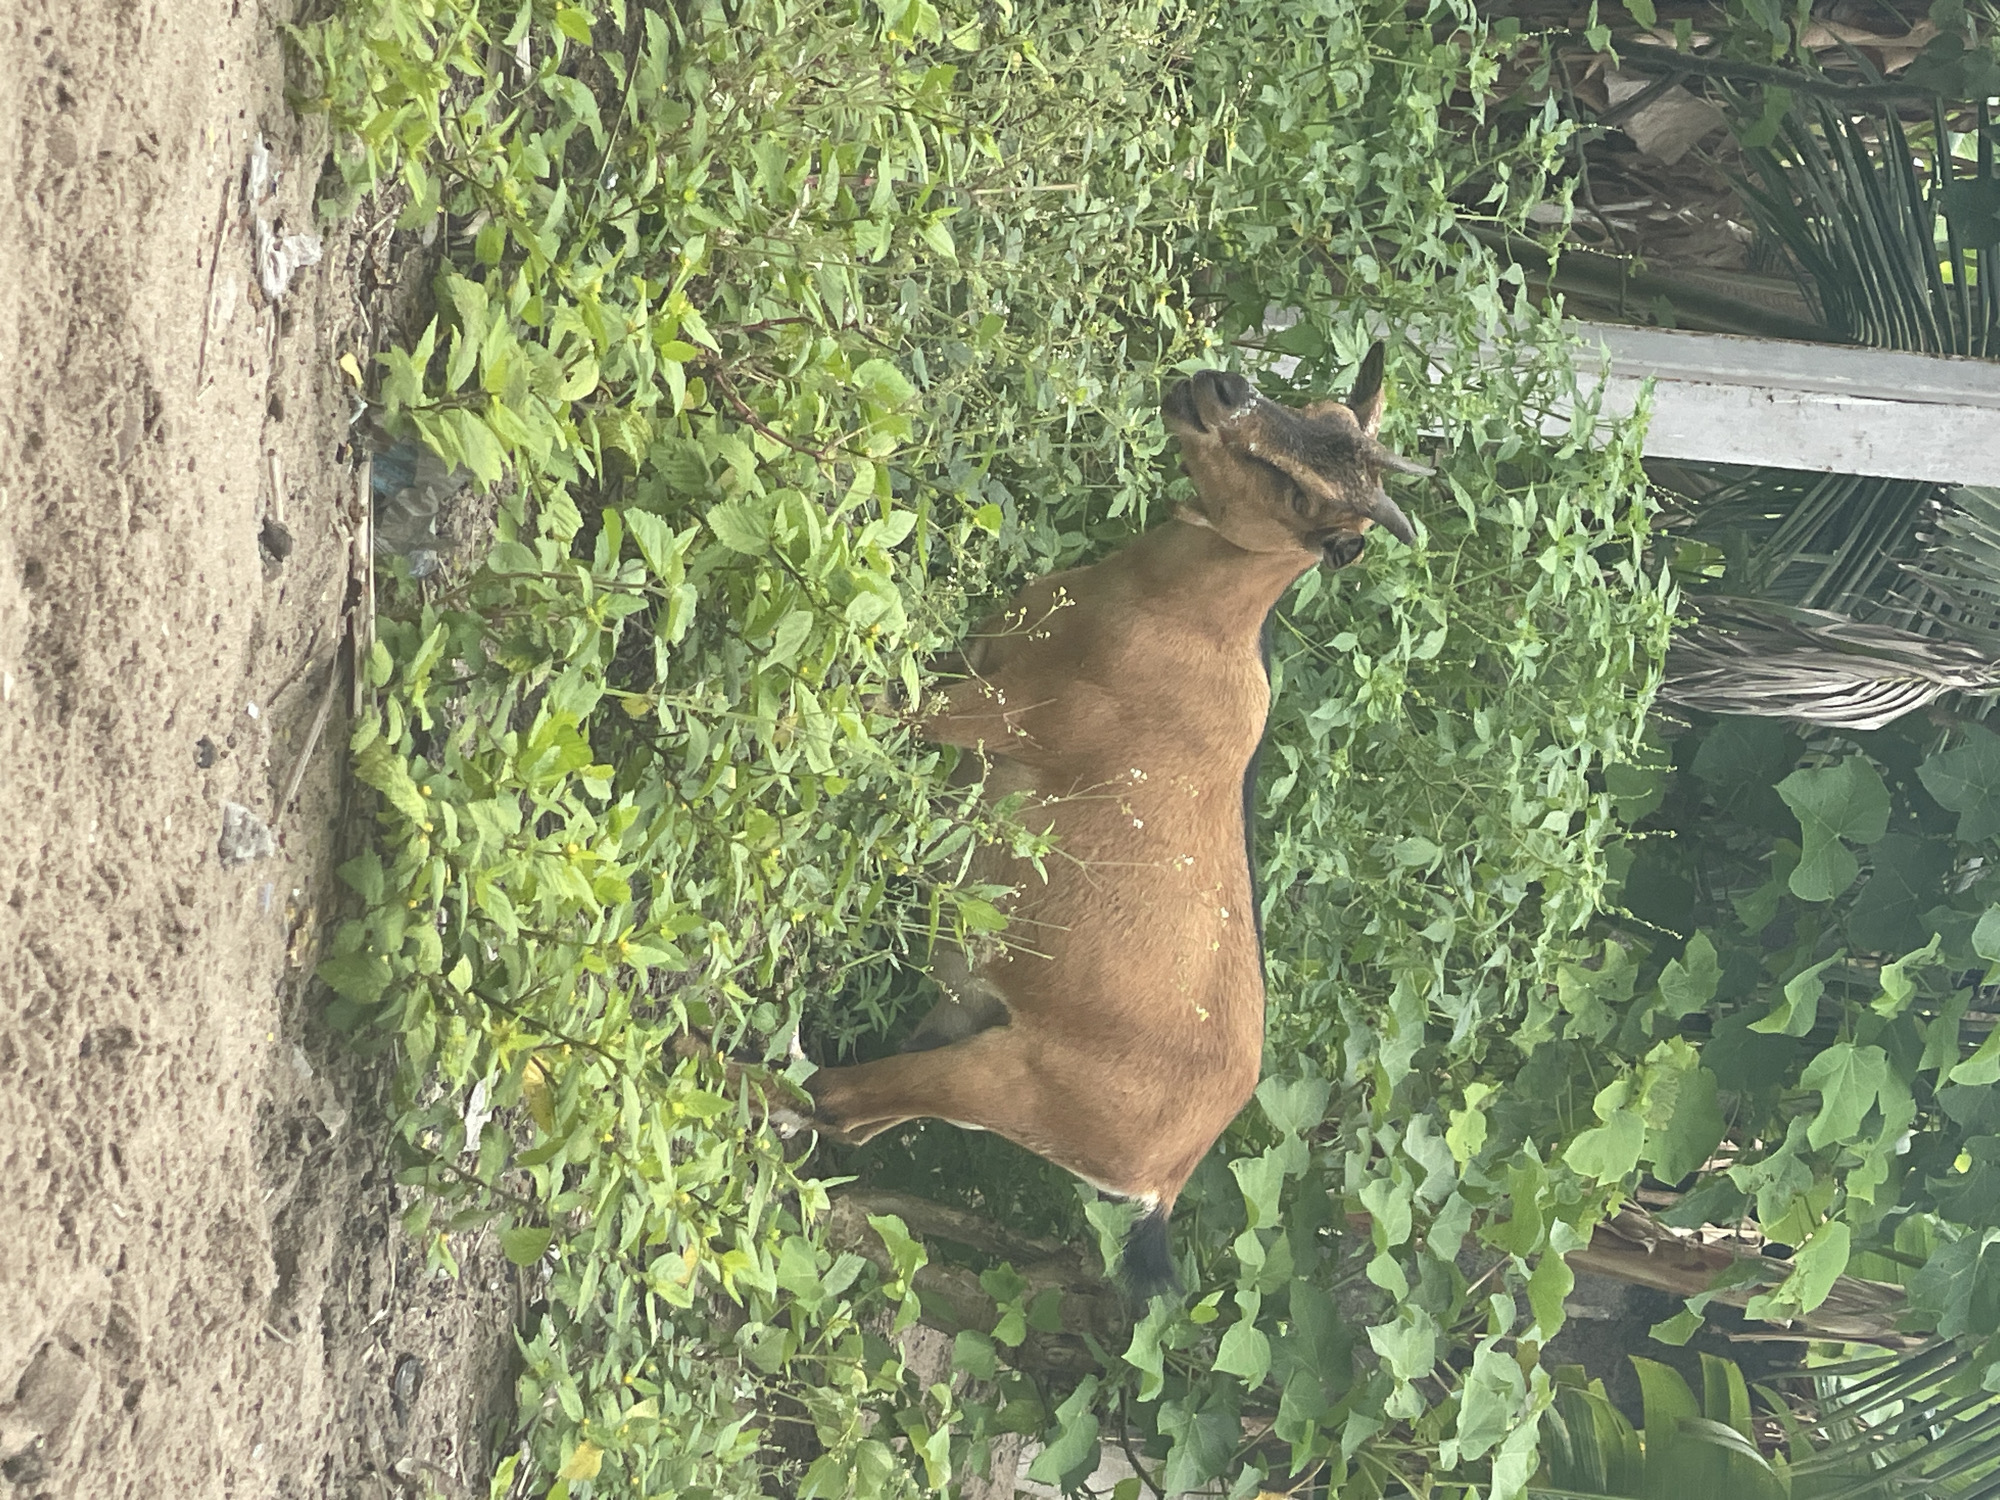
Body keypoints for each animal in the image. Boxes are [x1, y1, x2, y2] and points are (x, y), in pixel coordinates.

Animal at [802, 346, 1430, 1295]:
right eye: (1316, 407)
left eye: (1305, 498)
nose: (1221, 390)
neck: (1173, 617)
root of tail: (1165, 1185)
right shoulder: (975, 659)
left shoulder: (995, 713)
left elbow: (877, 703)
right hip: (969, 1011)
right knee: (862, 1115)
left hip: (1004, 1078)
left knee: (839, 1102)